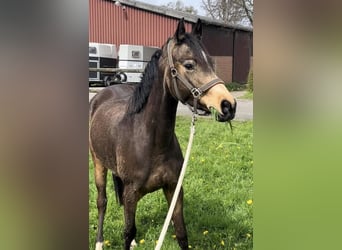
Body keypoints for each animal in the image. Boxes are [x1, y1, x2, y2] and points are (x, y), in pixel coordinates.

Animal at [89, 18, 236, 250]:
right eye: (189, 64)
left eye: (212, 63)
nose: (228, 105)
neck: (151, 142)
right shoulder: (131, 193)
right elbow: (128, 231)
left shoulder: (174, 188)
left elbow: (181, 232)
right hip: (98, 164)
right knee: (102, 202)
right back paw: (99, 242)